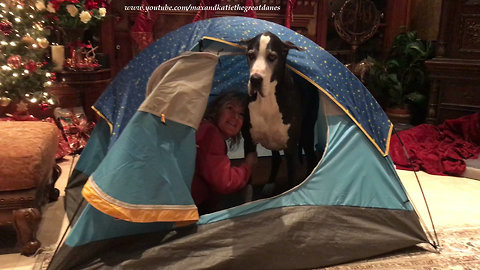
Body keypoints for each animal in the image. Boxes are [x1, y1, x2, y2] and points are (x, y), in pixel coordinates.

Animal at [244, 31, 318, 195]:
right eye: (251, 55)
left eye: (272, 57)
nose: (255, 79)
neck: (269, 100)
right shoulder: (249, 143)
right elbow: (248, 186)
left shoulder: (290, 150)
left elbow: (291, 185)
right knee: (277, 159)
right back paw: (270, 184)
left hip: (307, 132)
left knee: (311, 157)